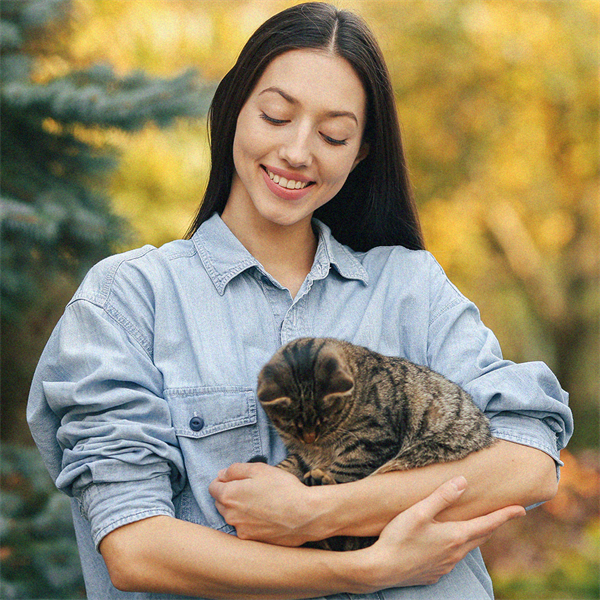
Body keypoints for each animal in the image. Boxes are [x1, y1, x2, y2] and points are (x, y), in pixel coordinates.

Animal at [255, 336, 494, 552]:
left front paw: (325, 479)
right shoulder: (304, 454)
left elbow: (344, 472)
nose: (309, 437)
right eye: (292, 426)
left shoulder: (371, 442)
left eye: (325, 421)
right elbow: (291, 464)